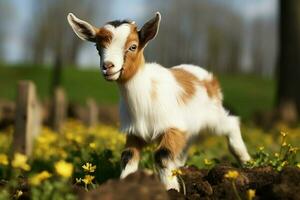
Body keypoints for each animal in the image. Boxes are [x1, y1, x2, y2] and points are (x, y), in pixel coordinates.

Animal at [67, 12, 251, 191]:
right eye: (98, 47)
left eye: (133, 46)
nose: (108, 66)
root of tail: (208, 77)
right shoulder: (134, 132)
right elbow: (128, 156)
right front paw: (125, 184)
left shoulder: (172, 126)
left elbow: (162, 156)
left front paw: (171, 189)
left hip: (213, 115)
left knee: (231, 124)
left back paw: (246, 161)